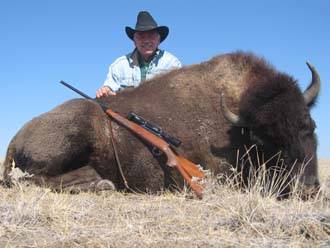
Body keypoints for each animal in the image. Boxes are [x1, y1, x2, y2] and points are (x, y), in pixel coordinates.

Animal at [1, 50, 320, 198]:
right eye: (264, 138)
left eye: (310, 126)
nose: (307, 189)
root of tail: (17, 135)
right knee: (34, 179)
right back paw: (102, 182)